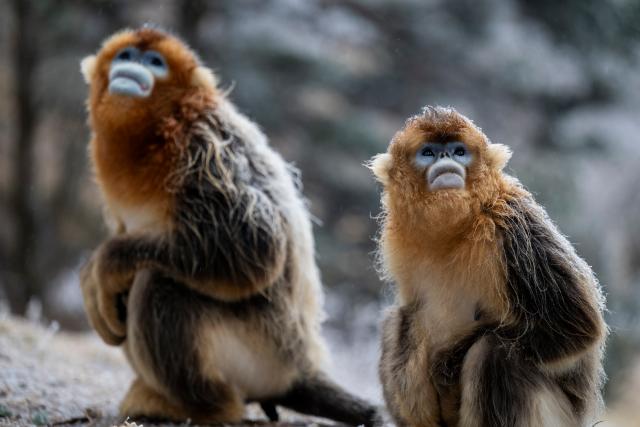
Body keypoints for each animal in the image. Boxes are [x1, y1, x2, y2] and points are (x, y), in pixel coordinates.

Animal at [78, 26, 378, 426]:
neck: (156, 135)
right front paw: (90, 279)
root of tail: (301, 369)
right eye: (125, 55)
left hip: (264, 355)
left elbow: (257, 244)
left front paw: (107, 263)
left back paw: (203, 407)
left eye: (154, 62)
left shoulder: (205, 149)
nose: (132, 66)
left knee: (159, 283)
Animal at [369, 106, 607, 427]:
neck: (458, 231)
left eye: (459, 151)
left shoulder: (513, 225)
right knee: (399, 319)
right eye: (428, 152)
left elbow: (577, 327)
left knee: (493, 351)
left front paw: (447, 366)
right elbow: (410, 311)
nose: (446, 158)